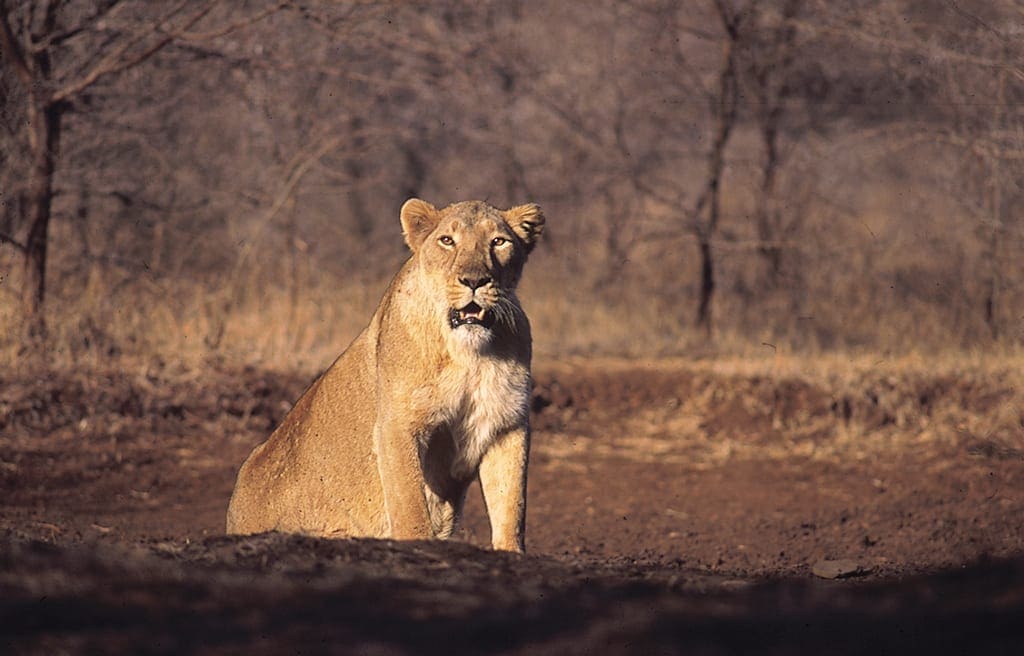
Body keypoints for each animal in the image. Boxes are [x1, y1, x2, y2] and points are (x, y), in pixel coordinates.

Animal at [224, 196, 544, 548]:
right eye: (447, 240)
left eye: (498, 242)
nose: (474, 281)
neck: (468, 355)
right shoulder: (398, 424)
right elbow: (410, 505)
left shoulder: (507, 425)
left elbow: (511, 508)